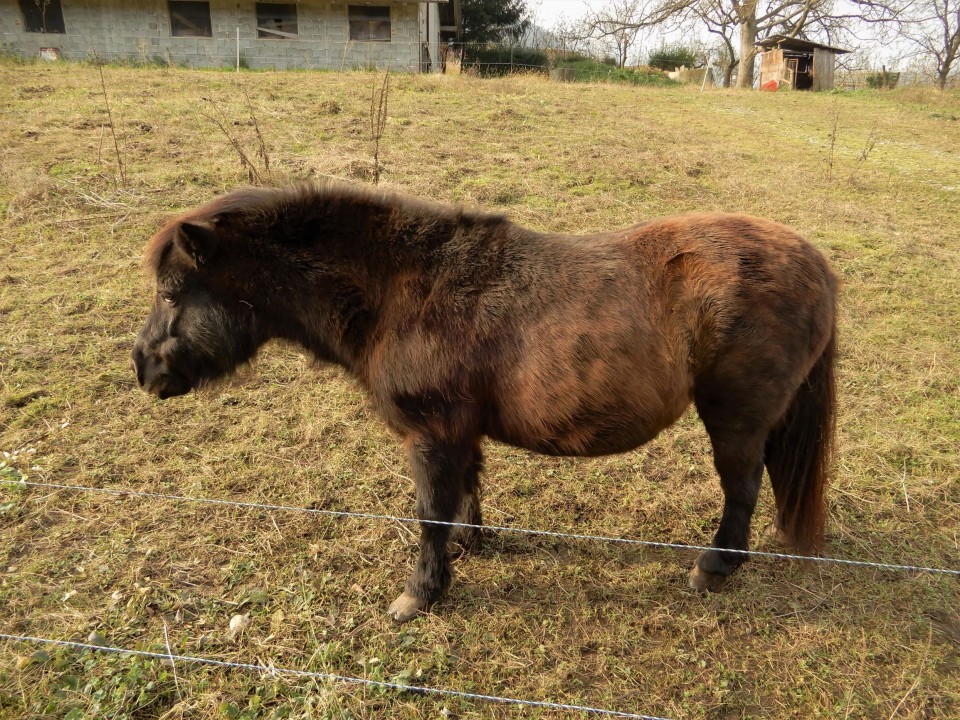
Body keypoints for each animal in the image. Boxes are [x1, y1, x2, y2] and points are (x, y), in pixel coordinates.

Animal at [131, 184, 836, 624]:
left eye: (171, 293)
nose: (143, 369)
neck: (401, 291)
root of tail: (815, 261)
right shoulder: (458, 432)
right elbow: (463, 494)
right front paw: (470, 548)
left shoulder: (430, 433)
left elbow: (428, 514)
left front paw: (421, 593)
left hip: (735, 417)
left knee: (742, 487)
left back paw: (714, 568)